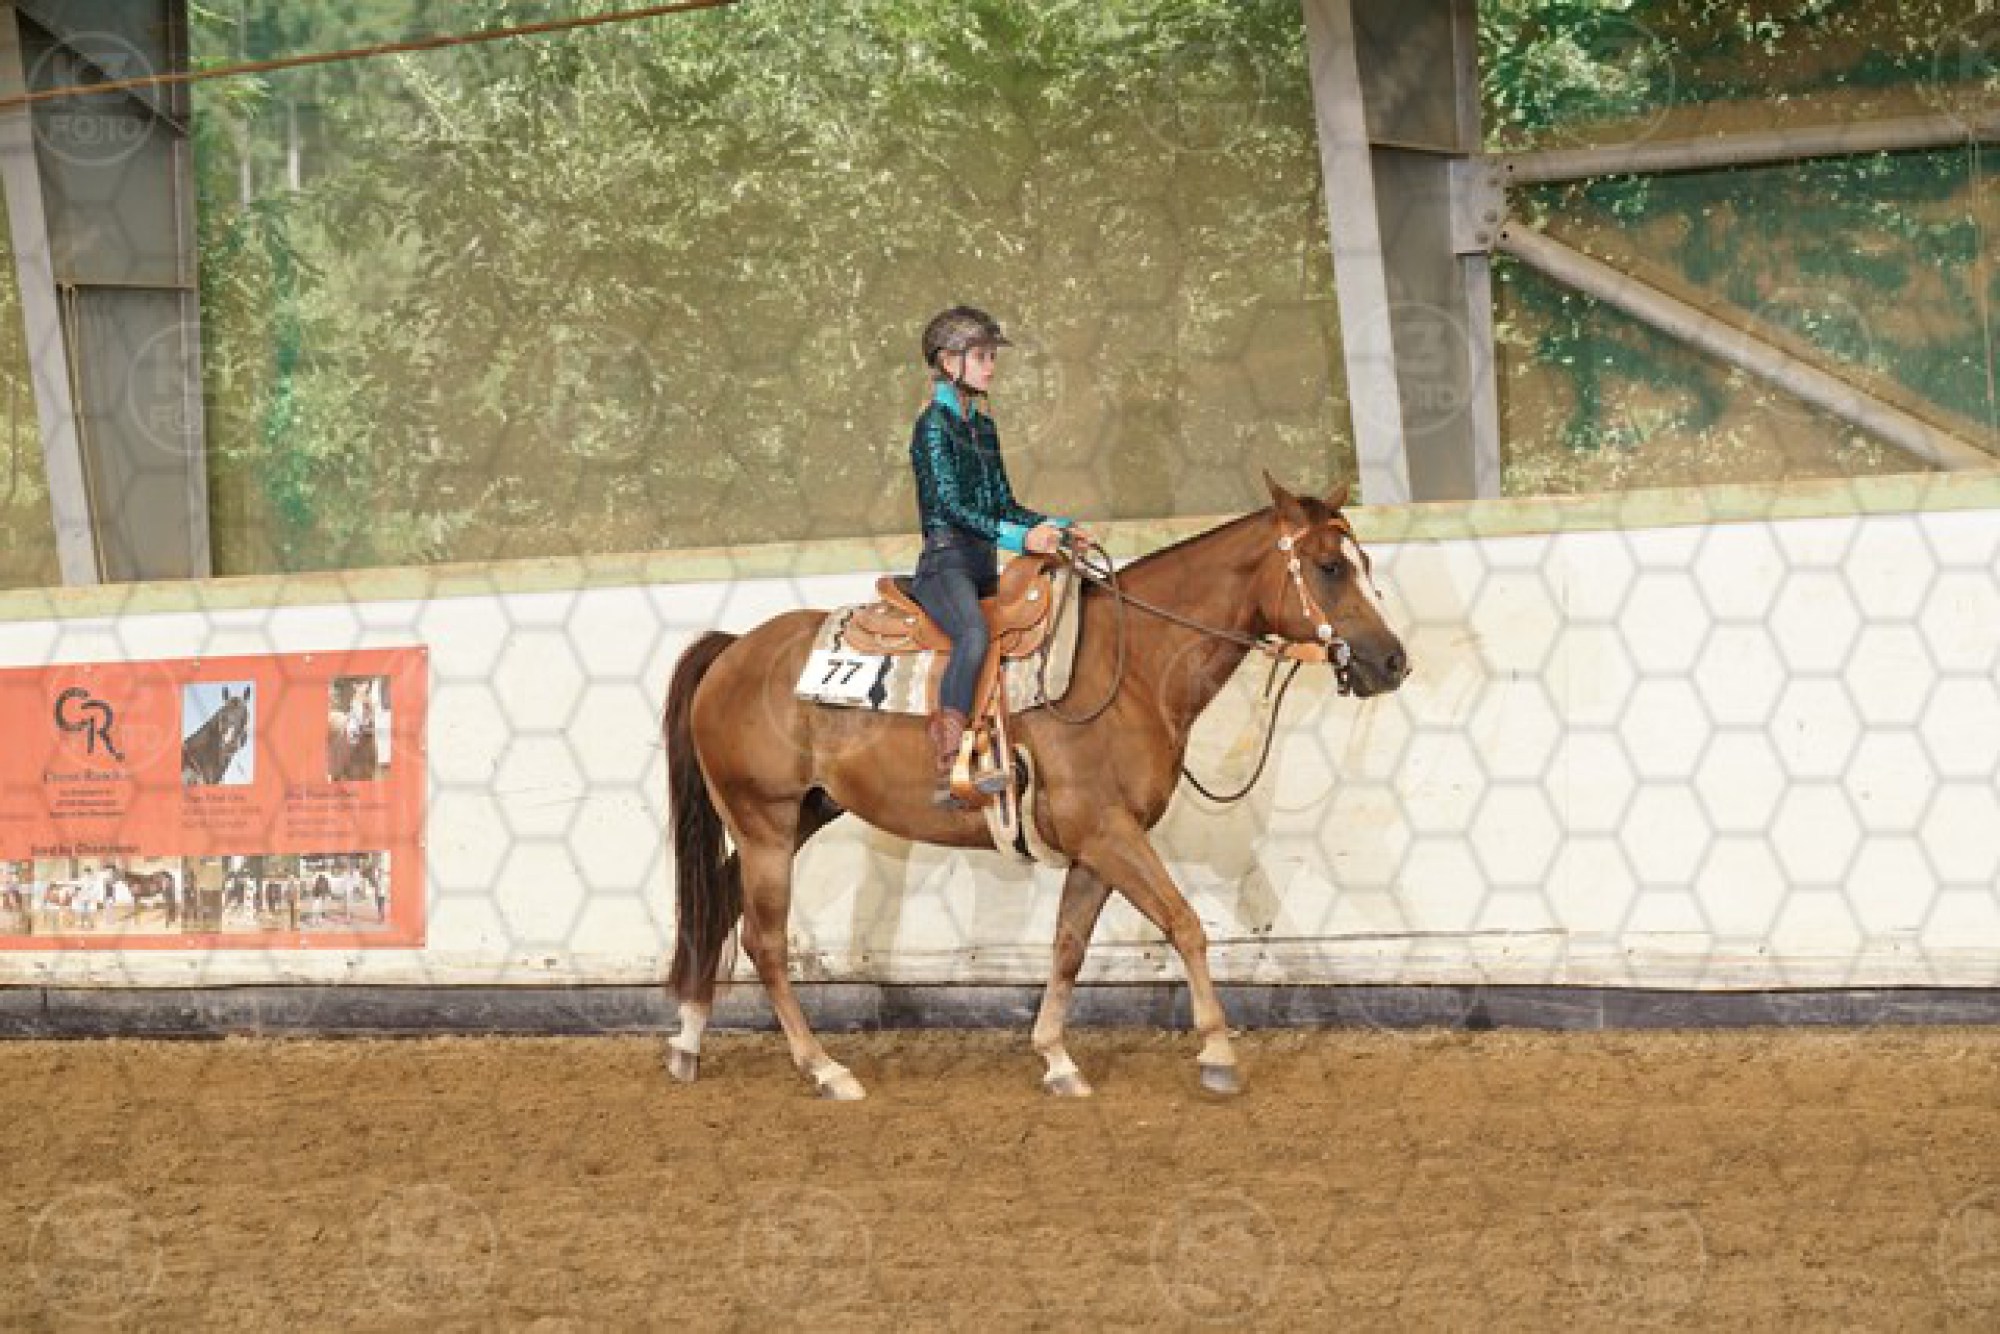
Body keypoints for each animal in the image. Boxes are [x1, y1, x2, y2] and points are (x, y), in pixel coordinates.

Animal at [662, 475, 1408, 1100]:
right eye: (1331, 567)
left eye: (1366, 563)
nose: (1392, 660)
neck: (1130, 665)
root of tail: (732, 649)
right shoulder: (1107, 832)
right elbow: (1186, 924)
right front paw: (1218, 1054)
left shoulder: (1097, 847)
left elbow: (1069, 945)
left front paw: (1056, 1058)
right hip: (765, 823)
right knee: (764, 941)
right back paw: (824, 1068)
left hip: (799, 816)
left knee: (718, 904)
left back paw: (689, 1041)